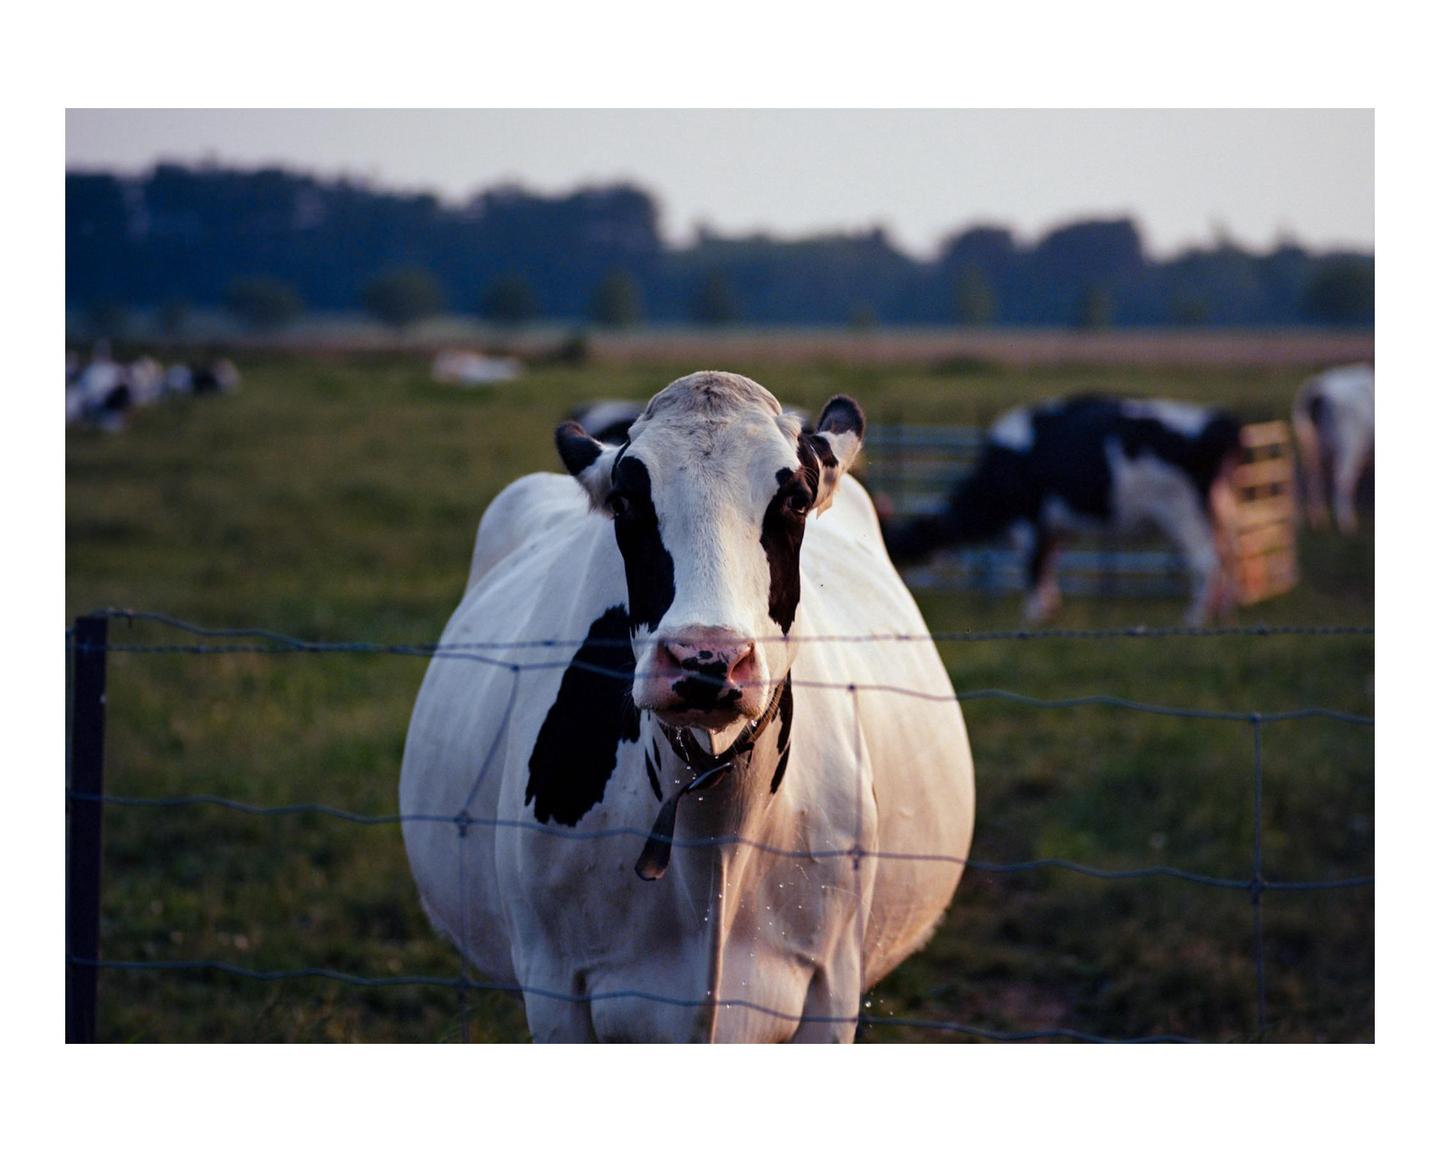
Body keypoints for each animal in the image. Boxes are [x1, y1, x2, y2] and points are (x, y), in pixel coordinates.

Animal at [401, 370, 975, 1043]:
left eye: (796, 499)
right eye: (626, 502)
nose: (706, 658)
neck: (714, 841)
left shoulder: (832, 987)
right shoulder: (554, 986)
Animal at [884, 395, 1244, 626]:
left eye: (903, 539)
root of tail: (1221, 424)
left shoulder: (1029, 523)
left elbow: (1033, 567)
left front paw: (1032, 614)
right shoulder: (1055, 529)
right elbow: (1048, 567)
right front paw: (1050, 609)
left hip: (1183, 513)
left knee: (1206, 562)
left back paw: (1196, 616)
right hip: (1221, 509)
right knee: (1229, 558)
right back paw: (1222, 611)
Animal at [1292, 364, 1374, 534]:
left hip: (1310, 449)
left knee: (1307, 476)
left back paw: (1312, 519)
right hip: (1347, 446)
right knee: (1342, 478)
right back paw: (1345, 523)